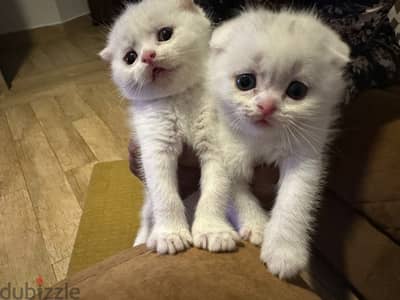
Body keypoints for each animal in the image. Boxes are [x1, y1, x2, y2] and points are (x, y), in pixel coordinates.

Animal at [100, 0, 239, 254]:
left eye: (165, 34)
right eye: (130, 57)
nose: (147, 56)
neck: (179, 98)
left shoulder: (217, 146)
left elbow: (215, 193)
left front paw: (213, 230)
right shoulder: (155, 149)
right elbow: (165, 197)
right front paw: (169, 234)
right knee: (146, 218)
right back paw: (143, 240)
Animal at [209, 8, 350, 278]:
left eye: (297, 91)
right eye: (245, 82)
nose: (267, 106)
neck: (263, 141)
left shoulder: (305, 155)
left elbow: (295, 200)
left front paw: (285, 251)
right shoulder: (225, 147)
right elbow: (236, 193)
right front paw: (257, 223)